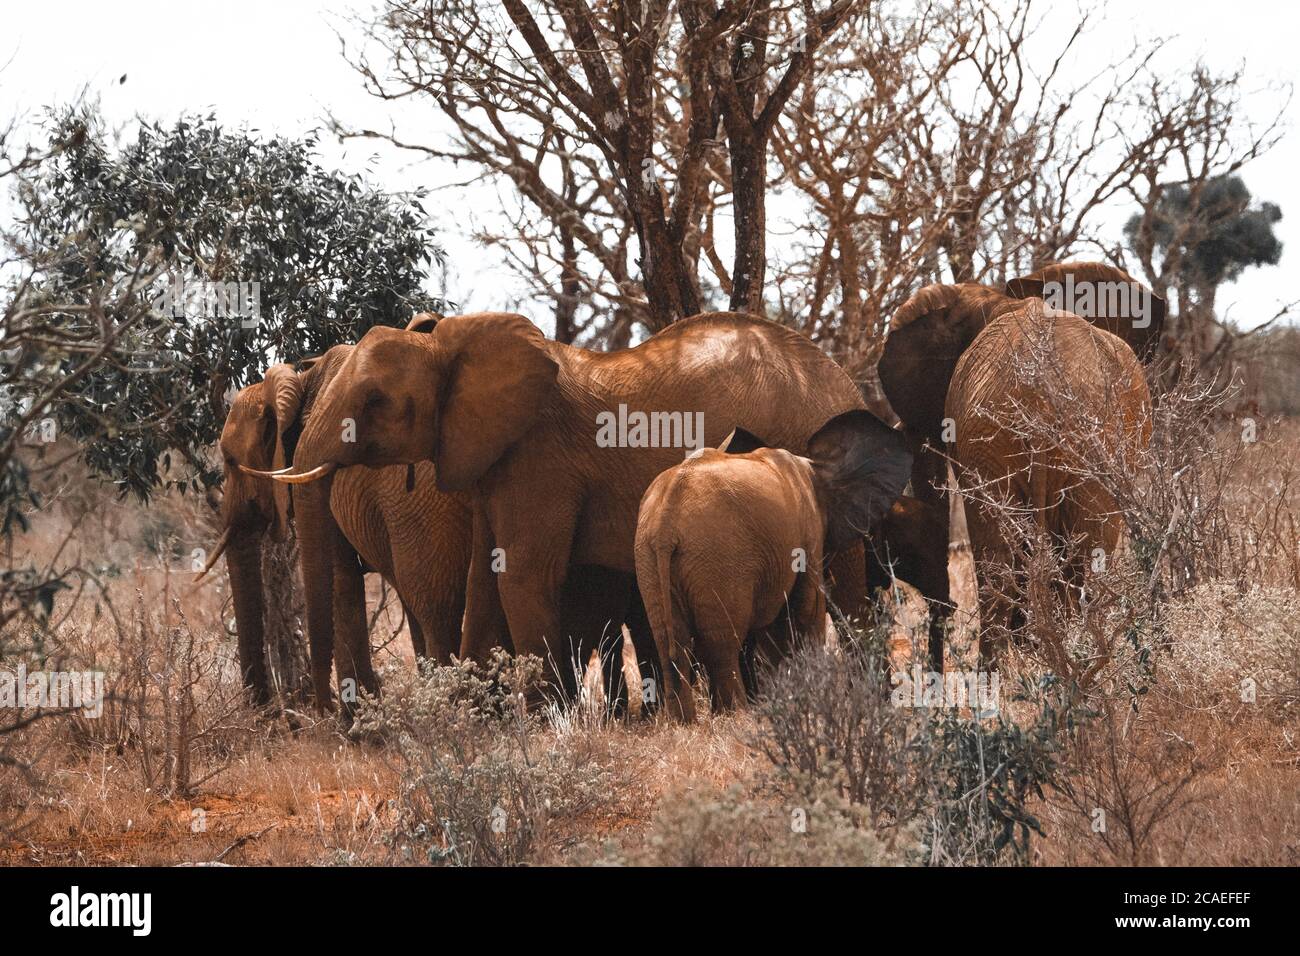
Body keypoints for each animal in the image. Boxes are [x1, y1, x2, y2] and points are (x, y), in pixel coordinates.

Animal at [208, 335, 478, 712]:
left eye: (231, 461)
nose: (269, 711)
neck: (302, 379)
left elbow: (340, 579)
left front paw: (357, 718)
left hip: (422, 505)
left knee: (434, 604)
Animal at [257, 314, 868, 697]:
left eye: (374, 401)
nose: (326, 716)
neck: (451, 345)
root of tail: (841, 378)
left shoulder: (539, 456)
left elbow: (523, 573)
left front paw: (542, 718)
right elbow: (487, 574)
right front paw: (478, 714)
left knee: (843, 589)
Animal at [634, 408, 909, 723]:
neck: (815, 467)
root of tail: (665, 524)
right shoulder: (808, 531)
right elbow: (807, 609)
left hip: (650, 560)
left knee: (671, 643)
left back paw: (684, 723)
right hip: (717, 558)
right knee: (721, 643)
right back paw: (736, 716)